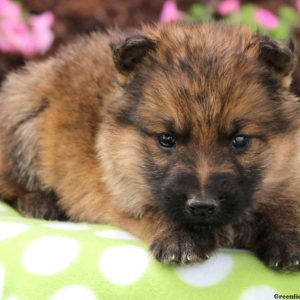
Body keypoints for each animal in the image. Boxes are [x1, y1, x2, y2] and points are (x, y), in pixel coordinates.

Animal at [0, 22, 300, 270]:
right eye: (166, 139)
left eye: (239, 140)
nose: (202, 206)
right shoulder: (124, 196)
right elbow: (154, 211)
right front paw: (179, 239)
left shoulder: (287, 173)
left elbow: (285, 203)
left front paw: (288, 238)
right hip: (24, 123)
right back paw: (40, 203)